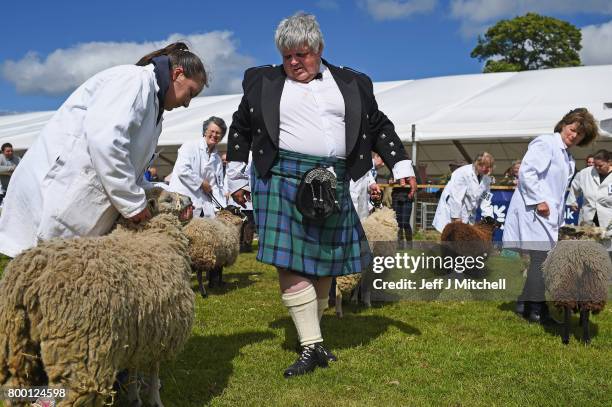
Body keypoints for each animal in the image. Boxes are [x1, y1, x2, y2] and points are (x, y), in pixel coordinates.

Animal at [0, 190, 195, 406]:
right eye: (168, 199)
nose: (190, 199)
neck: (147, 234)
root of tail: (31, 278)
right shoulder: (164, 329)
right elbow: (154, 368)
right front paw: (154, 399)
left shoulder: (141, 329)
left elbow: (134, 365)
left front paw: (134, 396)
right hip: (82, 355)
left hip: (15, 344)